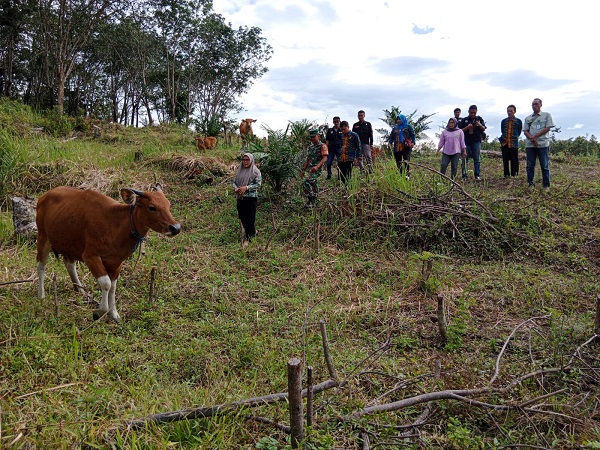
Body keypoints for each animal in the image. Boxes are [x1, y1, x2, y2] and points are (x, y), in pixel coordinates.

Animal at [34, 184, 180, 324]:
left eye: (168, 205)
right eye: (152, 207)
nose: (176, 228)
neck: (116, 226)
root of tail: (44, 196)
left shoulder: (118, 261)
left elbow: (113, 287)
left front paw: (113, 314)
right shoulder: (90, 256)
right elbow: (106, 283)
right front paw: (99, 312)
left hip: (70, 243)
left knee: (69, 263)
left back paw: (79, 289)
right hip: (43, 235)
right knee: (41, 265)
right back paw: (41, 295)